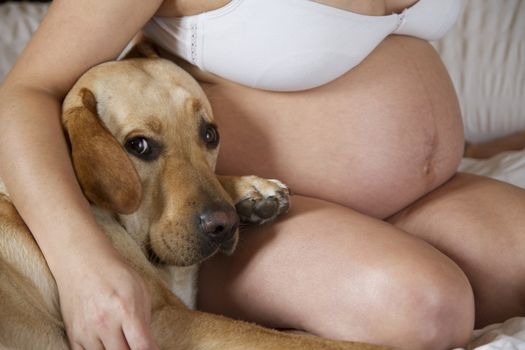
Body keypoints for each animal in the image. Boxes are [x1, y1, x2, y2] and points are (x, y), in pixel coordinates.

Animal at [0, 47, 384, 350]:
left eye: (210, 134)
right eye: (139, 146)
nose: (224, 225)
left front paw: (252, 192)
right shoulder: (166, 321)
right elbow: (305, 342)